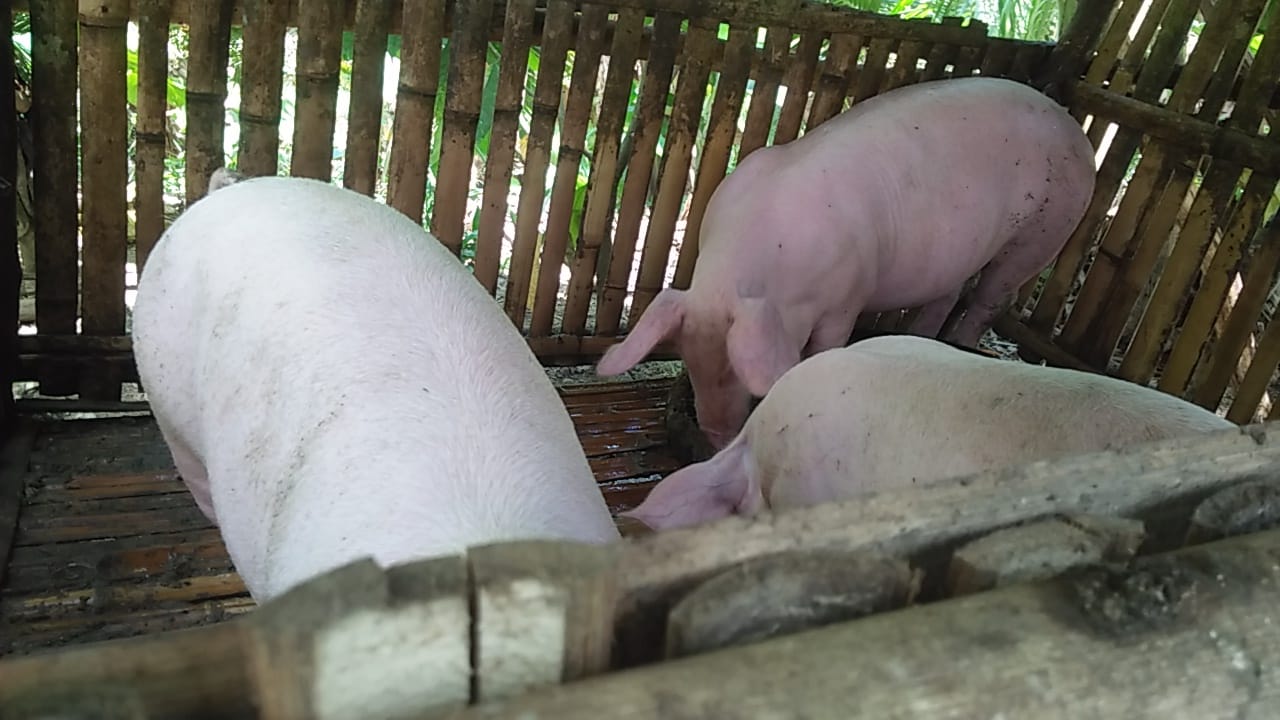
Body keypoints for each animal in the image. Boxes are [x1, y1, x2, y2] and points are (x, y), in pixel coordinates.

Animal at [595, 76, 1098, 450]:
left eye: (734, 371)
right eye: (691, 362)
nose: (717, 436)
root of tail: (1076, 128)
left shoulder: (847, 298)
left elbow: (826, 346)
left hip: (1045, 230)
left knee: (990, 299)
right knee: (948, 295)